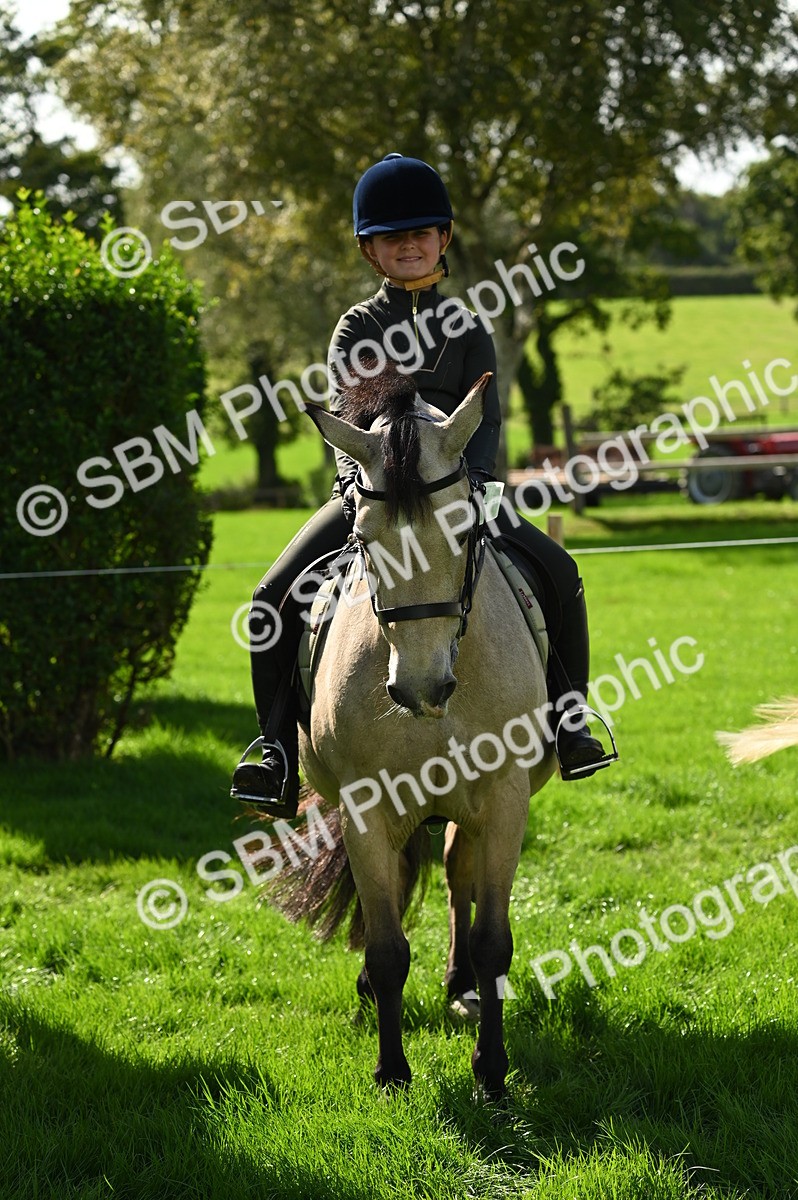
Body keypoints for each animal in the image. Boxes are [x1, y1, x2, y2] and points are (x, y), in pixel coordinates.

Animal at [281, 364, 556, 1098]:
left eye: (465, 533)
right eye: (364, 540)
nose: (422, 688)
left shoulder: (505, 797)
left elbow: (493, 940)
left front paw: (492, 1072)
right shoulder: (365, 806)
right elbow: (385, 945)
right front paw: (391, 1071)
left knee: (461, 878)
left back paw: (461, 988)